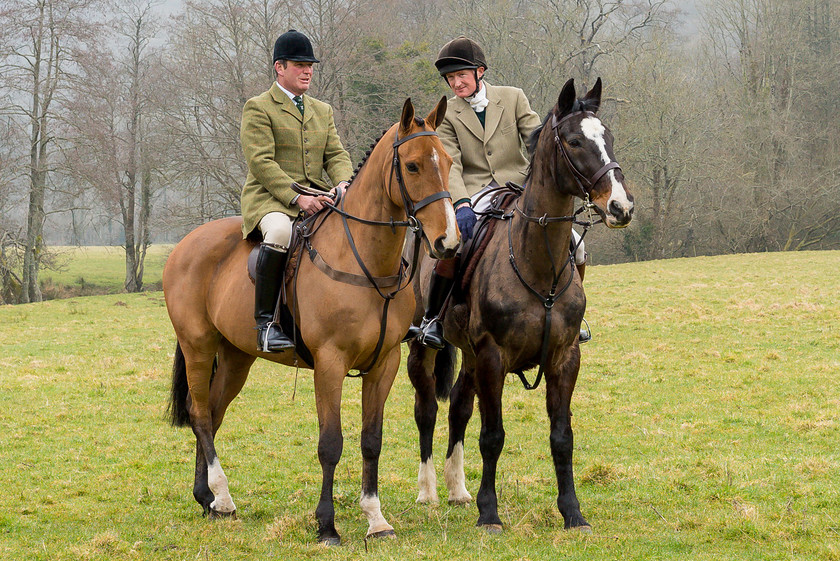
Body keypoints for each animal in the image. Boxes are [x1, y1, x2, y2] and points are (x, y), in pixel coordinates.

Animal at [165, 97, 460, 544]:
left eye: (447, 160)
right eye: (411, 166)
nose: (448, 242)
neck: (366, 260)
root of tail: (185, 244)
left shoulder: (385, 363)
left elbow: (371, 440)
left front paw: (376, 520)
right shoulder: (330, 363)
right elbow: (330, 443)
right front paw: (326, 525)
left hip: (236, 356)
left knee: (213, 414)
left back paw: (208, 500)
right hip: (198, 345)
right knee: (199, 414)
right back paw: (222, 495)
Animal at [406, 79, 632, 528]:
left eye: (609, 137)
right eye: (575, 141)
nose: (620, 206)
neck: (537, 262)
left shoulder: (565, 358)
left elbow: (562, 437)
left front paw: (572, 513)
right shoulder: (493, 357)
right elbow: (492, 437)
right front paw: (489, 514)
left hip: (470, 356)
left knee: (458, 408)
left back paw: (457, 489)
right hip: (426, 350)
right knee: (428, 411)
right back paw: (429, 491)